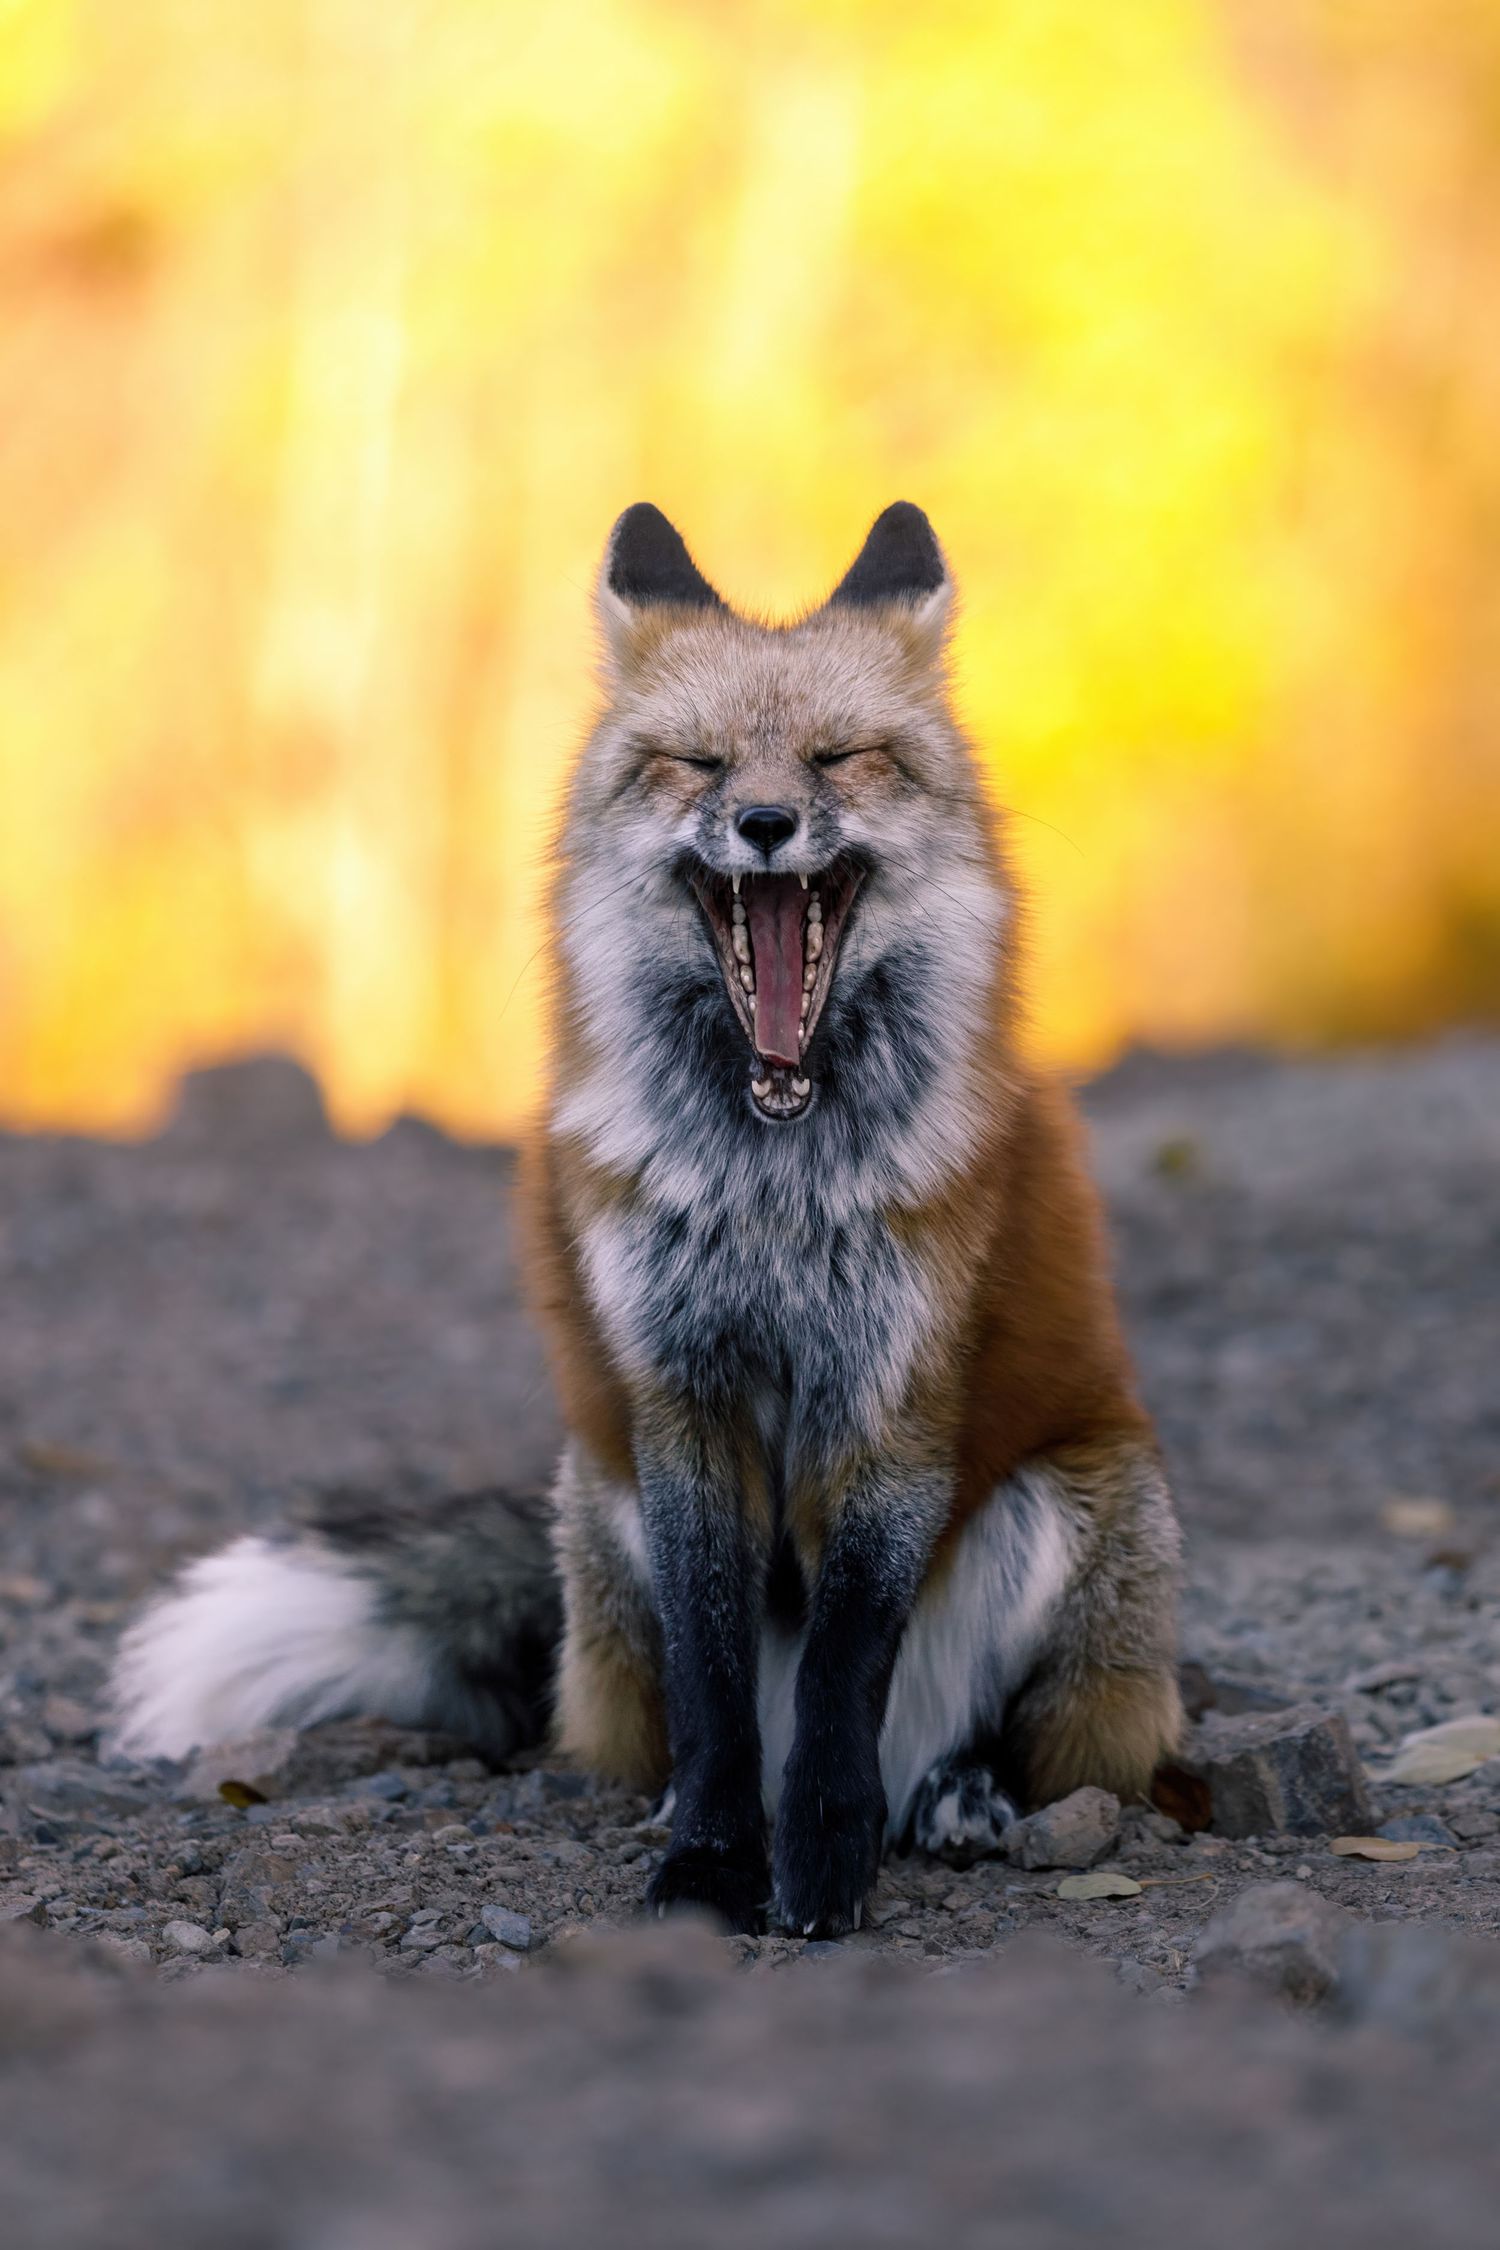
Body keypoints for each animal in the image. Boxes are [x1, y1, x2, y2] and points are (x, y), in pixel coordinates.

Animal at [110, 501, 1182, 1938]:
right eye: (698, 763)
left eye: (840, 757)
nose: (768, 820)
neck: (774, 1183)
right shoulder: (680, 1402)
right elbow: (716, 1681)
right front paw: (714, 1863)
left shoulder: (892, 1403)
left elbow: (843, 1670)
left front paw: (822, 1859)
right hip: (599, 1491)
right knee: (676, 1706)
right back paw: (685, 1800)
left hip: (1077, 1507)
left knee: (969, 1728)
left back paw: (957, 1795)